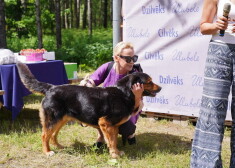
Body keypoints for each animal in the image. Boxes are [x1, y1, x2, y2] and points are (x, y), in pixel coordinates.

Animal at [16, 62, 162, 158]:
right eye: (149, 81)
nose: (160, 88)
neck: (124, 92)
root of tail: (51, 87)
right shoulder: (105, 123)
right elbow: (111, 141)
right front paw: (114, 155)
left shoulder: (113, 126)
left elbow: (114, 141)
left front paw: (116, 152)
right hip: (53, 119)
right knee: (44, 135)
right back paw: (47, 152)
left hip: (61, 120)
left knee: (52, 135)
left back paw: (59, 146)